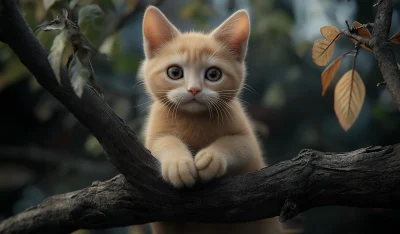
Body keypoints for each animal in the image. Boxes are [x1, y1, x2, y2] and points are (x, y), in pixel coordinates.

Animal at [141, 5, 282, 234]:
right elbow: (164, 142)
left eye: (213, 74)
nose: (194, 89)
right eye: (174, 72)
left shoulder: (250, 145)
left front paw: (212, 158)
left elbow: (239, 144)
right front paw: (178, 163)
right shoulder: (153, 137)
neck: (195, 118)